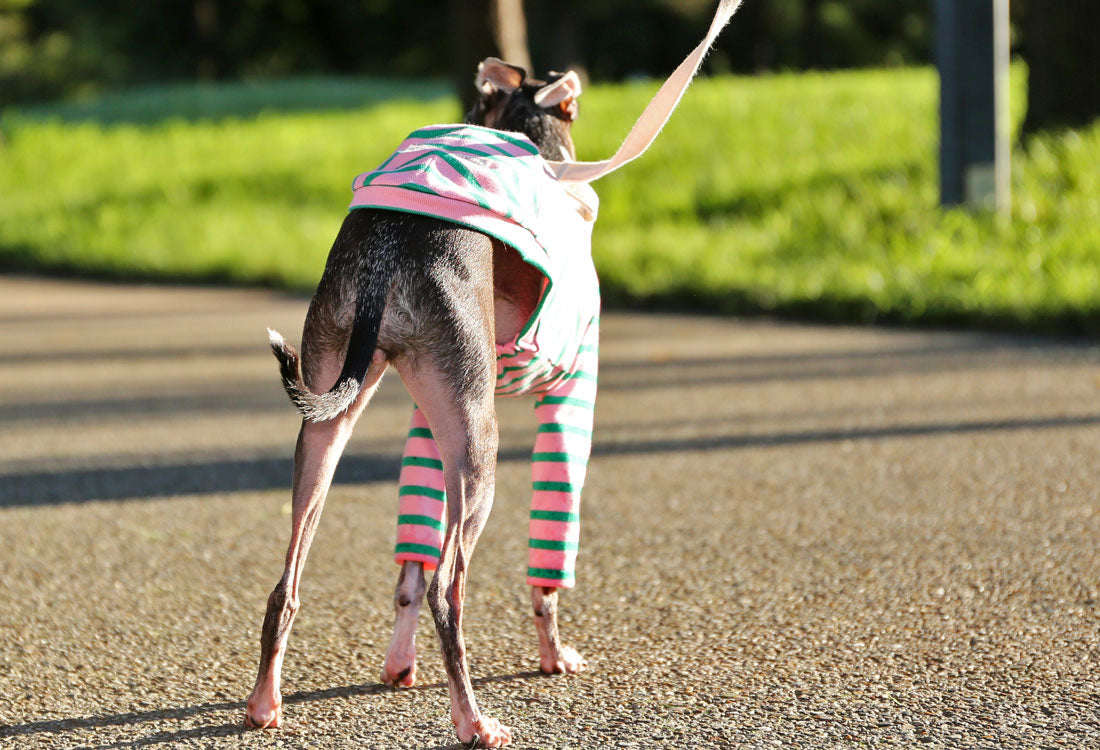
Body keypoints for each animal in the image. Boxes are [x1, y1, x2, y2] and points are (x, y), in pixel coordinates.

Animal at [243, 55, 602, 743]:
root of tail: (386, 257)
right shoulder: (570, 398)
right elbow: (546, 572)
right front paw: (554, 656)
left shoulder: (425, 425)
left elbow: (409, 567)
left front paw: (398, 665)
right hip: (480, 448)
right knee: (448, 592)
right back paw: (474, 721)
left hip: (337, 417)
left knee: (287, 583)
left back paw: (264, 703)